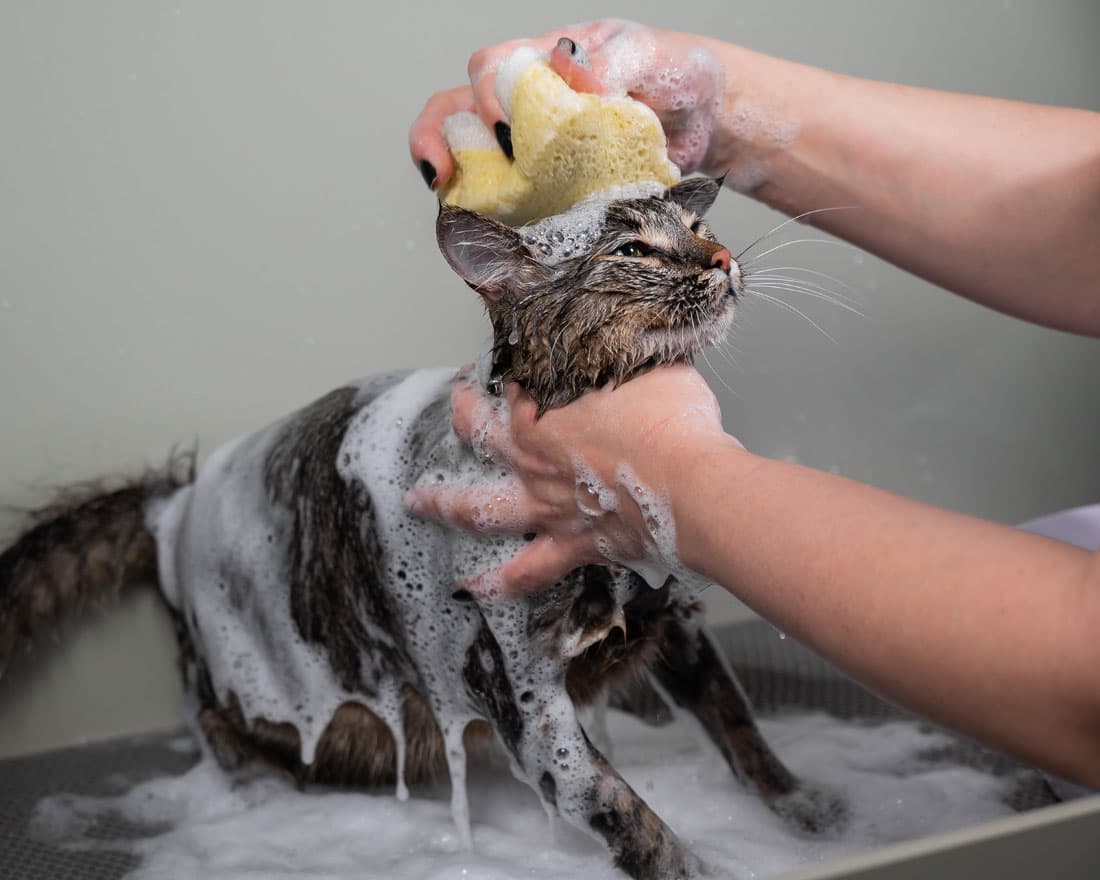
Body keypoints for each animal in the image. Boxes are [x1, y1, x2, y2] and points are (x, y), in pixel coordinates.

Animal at [0, 174, 840, 875]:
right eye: (632, 249)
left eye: (698, 226)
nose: (723, 257)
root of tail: (174, 504)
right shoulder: (524, 692)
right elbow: (624, 812)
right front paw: (691, 865)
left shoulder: (676, 611)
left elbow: (736, 720)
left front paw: (800, 805)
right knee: (217, 728)